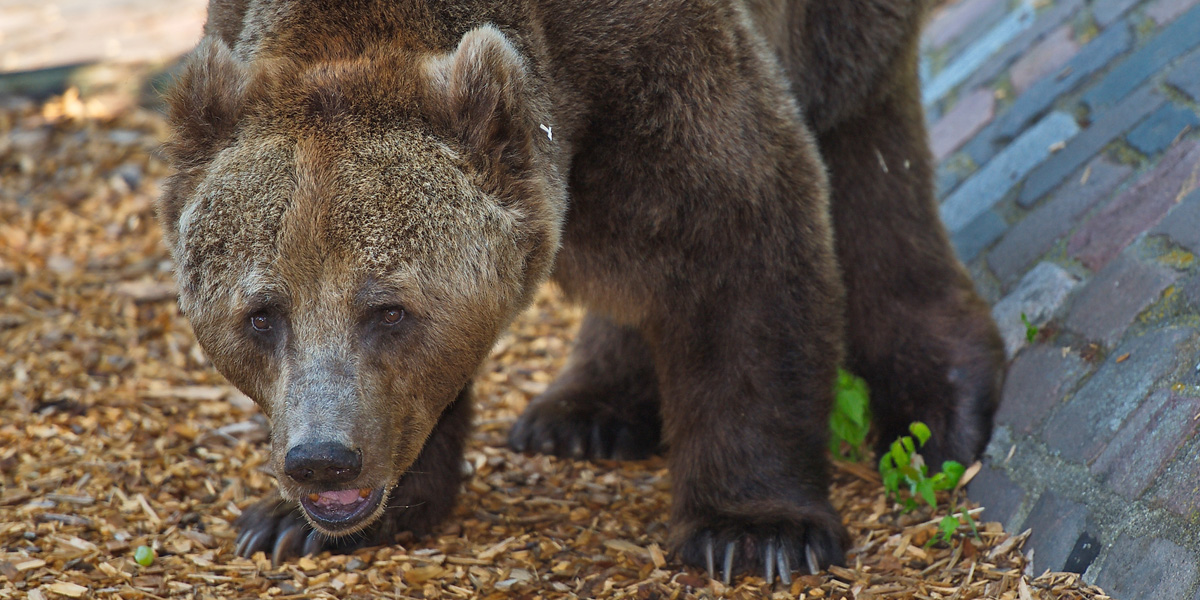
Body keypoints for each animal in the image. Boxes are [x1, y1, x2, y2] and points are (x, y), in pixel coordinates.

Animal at [157, 0, 1003, 583]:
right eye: (262, 315)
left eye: (388, 310)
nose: (322, 461)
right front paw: (289, 525)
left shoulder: (655, 66)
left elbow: (743, 237)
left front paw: (754, 532)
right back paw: (584, 410)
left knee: (863, 149)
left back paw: (941, 405)